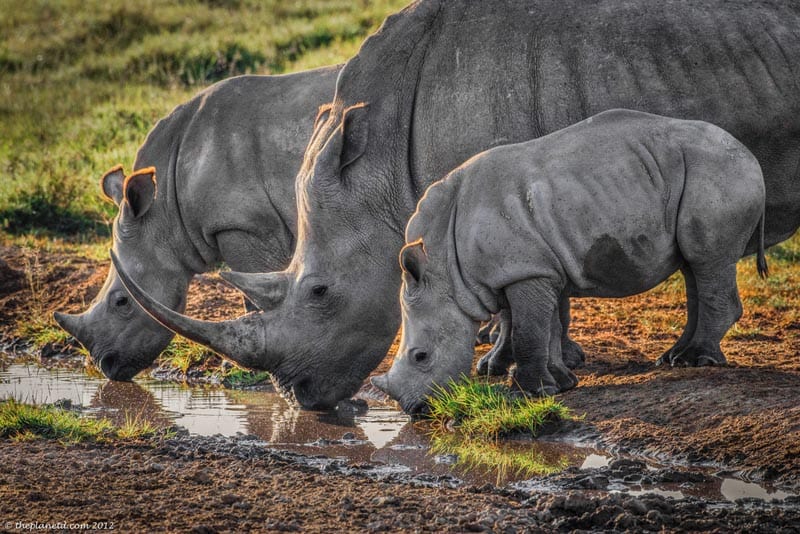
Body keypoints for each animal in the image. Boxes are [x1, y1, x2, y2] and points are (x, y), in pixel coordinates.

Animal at [53, 67, 340, 384]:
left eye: (122, 302)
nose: (106, 366)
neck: (165, 211)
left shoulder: (245, 226)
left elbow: (255, 291)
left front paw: (247, 365)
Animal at [374, 111, 768, 416]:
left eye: (421, 356)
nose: (416, 410)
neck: (443, 269)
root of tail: (750, 156)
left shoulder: (526, 272)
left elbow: (529, 332)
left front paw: (525, 393)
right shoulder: (539, 268)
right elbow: (548, 326)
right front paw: (560, 384)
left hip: (719, 172)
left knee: (707, 260)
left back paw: (697, 360)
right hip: (700, 173)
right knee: (693, 268)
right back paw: (674, 358)